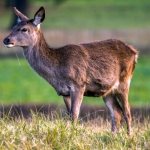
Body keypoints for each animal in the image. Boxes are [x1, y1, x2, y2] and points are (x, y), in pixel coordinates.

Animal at [2, 6, 138, 135]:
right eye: (14, 27)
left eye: (24, 29)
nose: (6, 40)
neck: (58, 69)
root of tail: (134, 52)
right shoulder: (64, 92)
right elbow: (69, 115)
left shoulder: (79, 85)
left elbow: (74, 115)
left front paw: (72, 136)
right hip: (106, 90)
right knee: (116, 112)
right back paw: (113, 135)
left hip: (124, 81)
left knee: (127, 112)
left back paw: (129, 136)